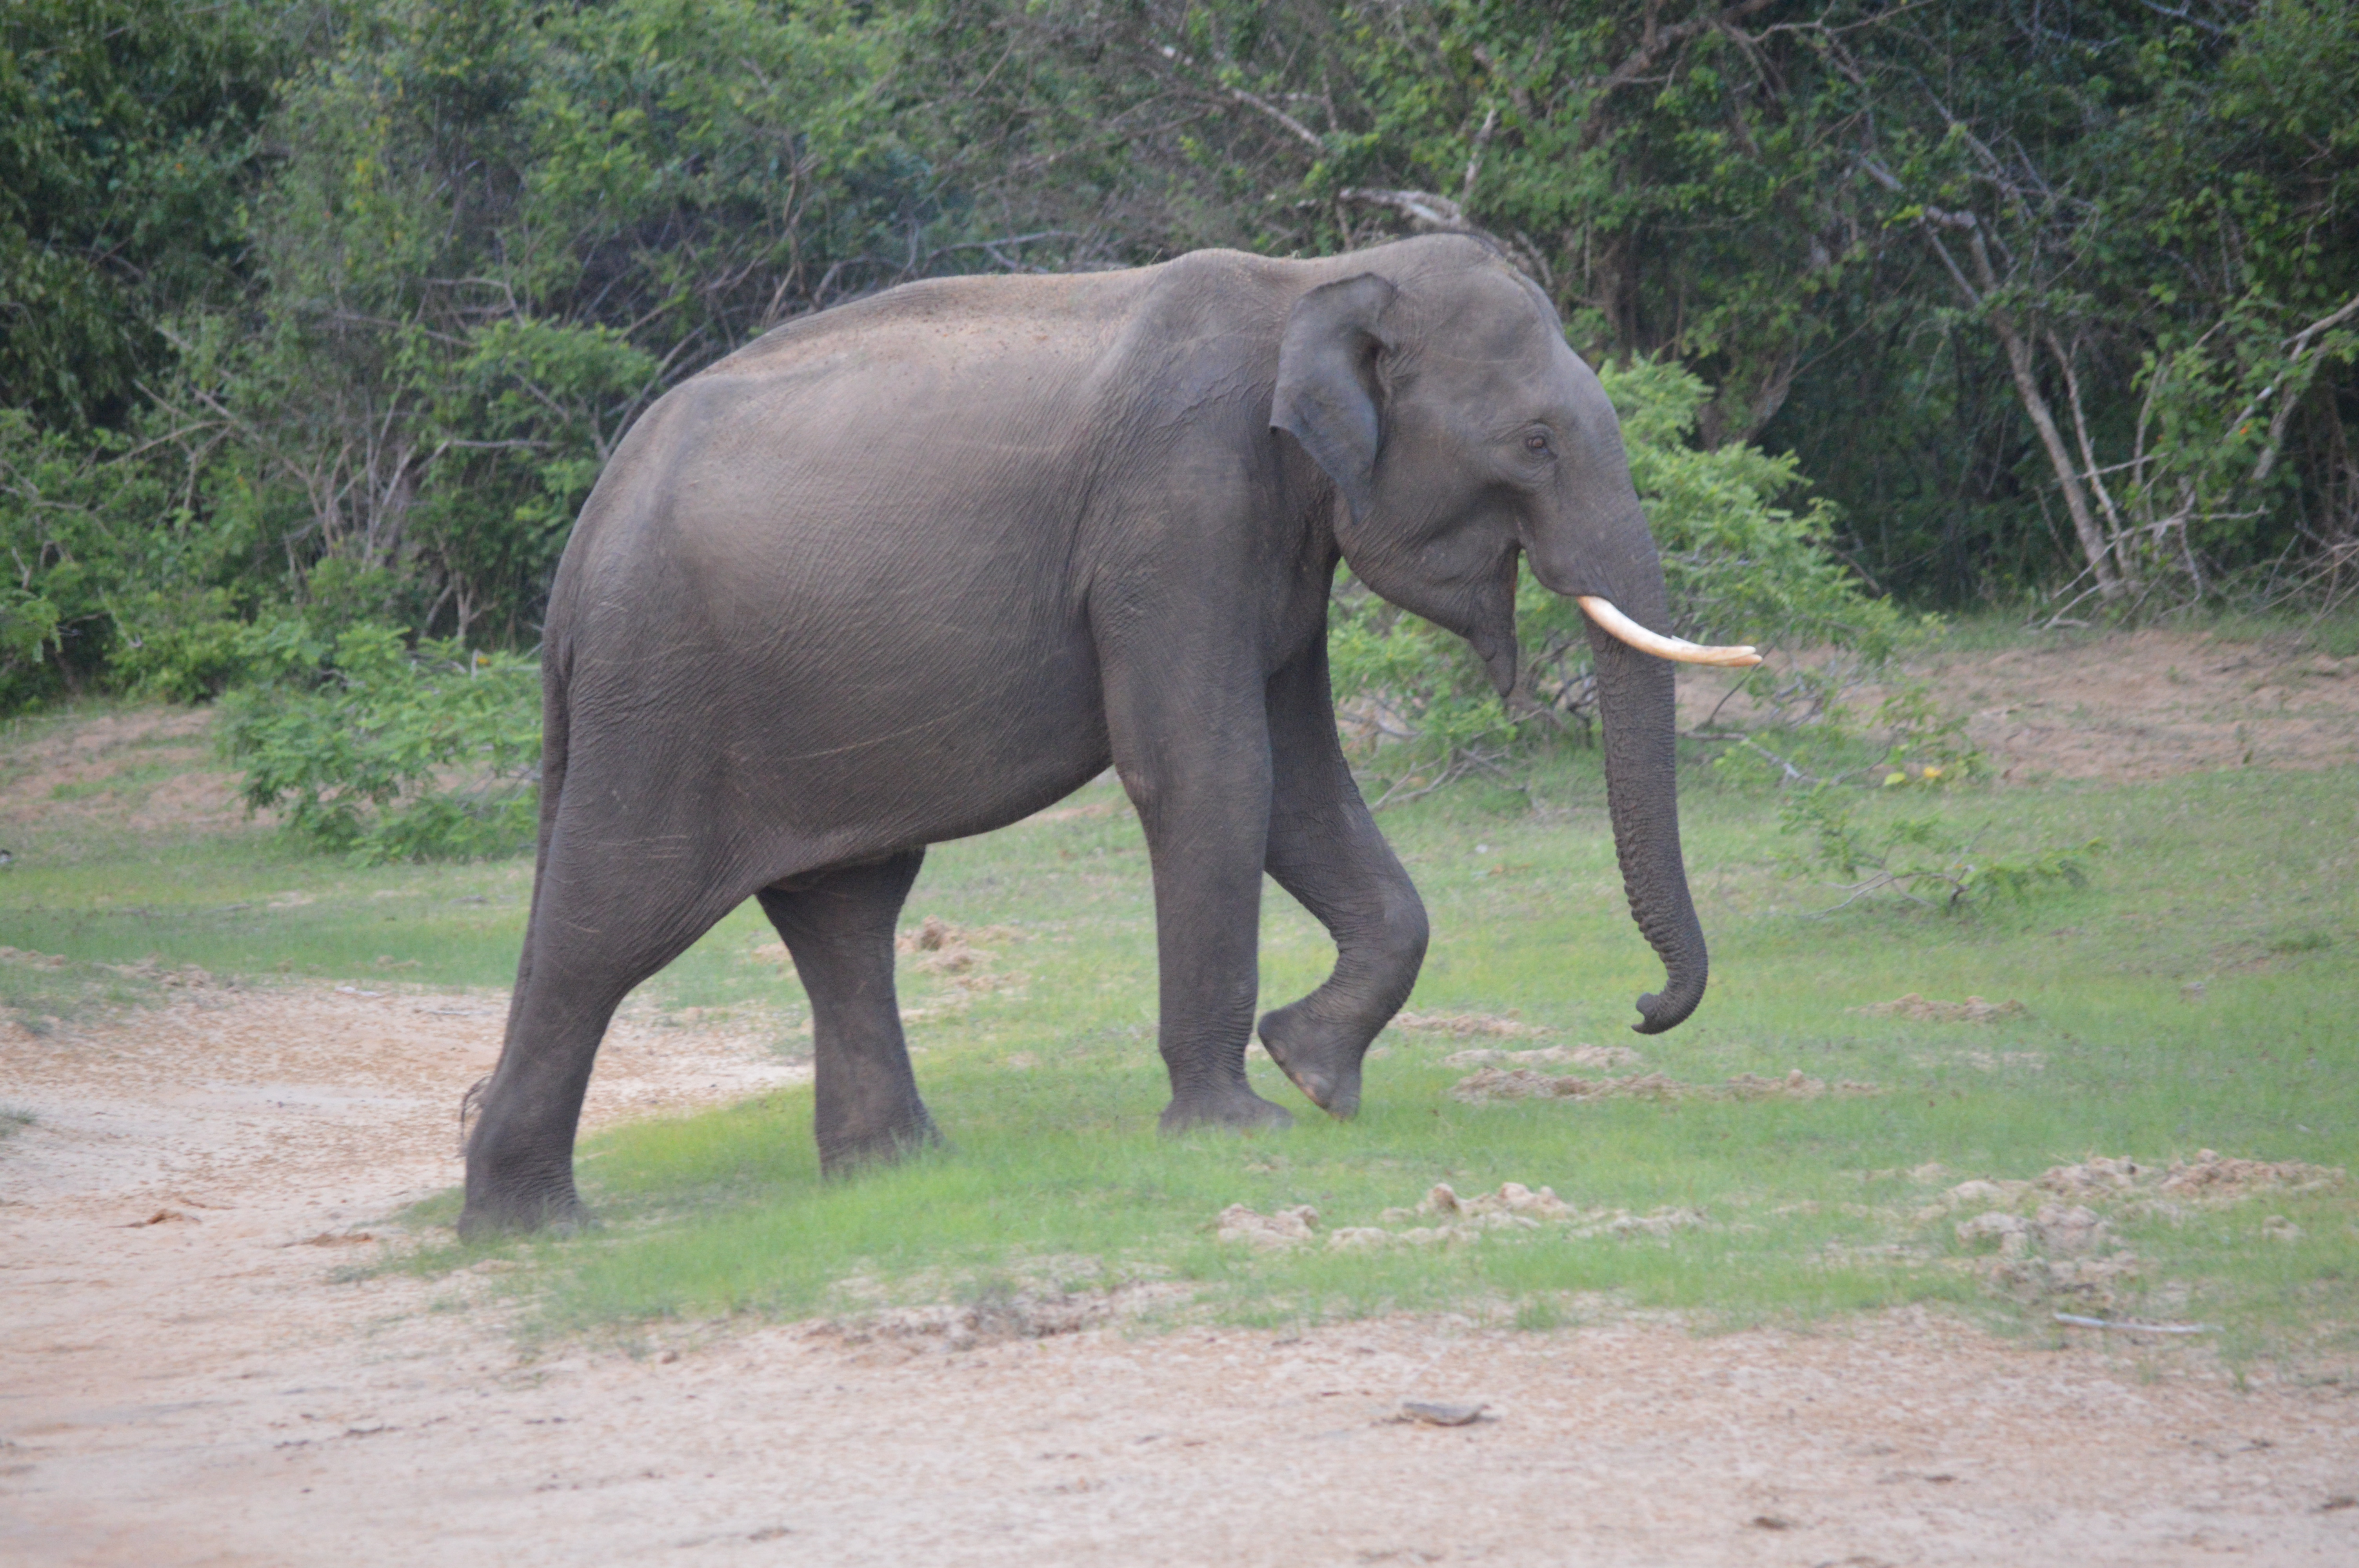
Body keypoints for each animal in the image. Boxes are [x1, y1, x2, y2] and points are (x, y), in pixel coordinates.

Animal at [458, 232, 1758, 1236]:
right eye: (1536, 442)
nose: (1643, 1009)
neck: (1318, 279)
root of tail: (584, 543)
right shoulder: (1178, 510)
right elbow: (1212, 771)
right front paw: (1243, 1123)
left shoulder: (1271, 537)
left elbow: (1300, 787)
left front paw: (1315, 1072)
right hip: (662, 690)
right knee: (612, 915)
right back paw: (531, 1227)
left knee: (846, 908)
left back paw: (901, 1171)